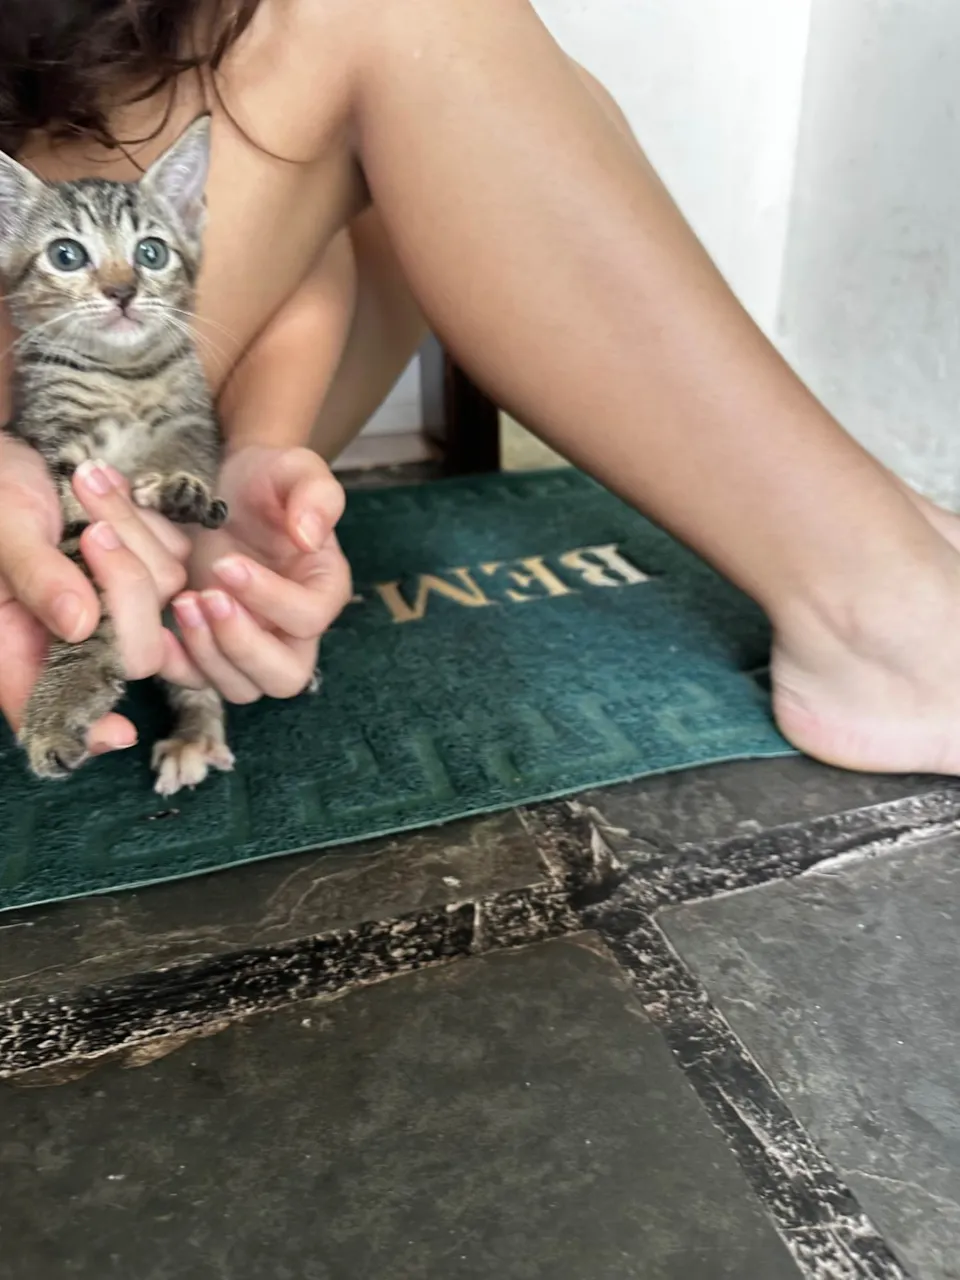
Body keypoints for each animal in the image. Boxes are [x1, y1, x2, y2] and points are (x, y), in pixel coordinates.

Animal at [0, 115, 234, 796]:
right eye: (66, 255)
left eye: (151, 252)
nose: (123, 291)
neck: (123, 376)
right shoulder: (60, 452)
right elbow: (83, 573)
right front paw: (61, 699)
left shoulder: (195, 419)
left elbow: (190, 456)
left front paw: (180, 487)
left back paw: (195, 734)